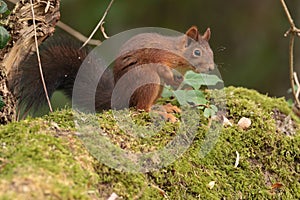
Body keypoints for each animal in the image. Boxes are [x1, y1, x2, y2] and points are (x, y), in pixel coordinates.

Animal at [7, 25, 213, 115]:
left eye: (211, 52)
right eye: (197, 52)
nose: (211, 68)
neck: (176, 52)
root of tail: (118, 96)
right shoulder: (157, 54)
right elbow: (160, 66)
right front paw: (174, 78)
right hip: (144, 78)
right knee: (139, 107)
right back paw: (156, 111)